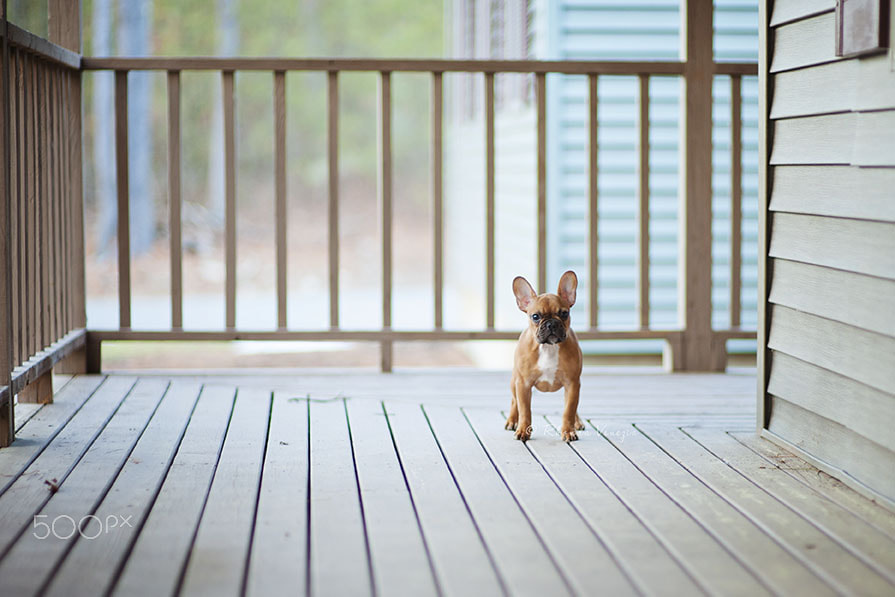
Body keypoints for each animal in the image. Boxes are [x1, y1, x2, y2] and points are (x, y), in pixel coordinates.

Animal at [508, 272, 584, 440]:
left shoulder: (572, 384)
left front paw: (568, 431)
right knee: (514, 402)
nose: (551, 324)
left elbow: (569, 410)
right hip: (514, 381)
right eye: (536, 316)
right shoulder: (523, 384)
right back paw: (512, 420)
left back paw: (577, 422)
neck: (549, 347)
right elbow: (524, 410)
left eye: (564, 313)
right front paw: (523, 430)